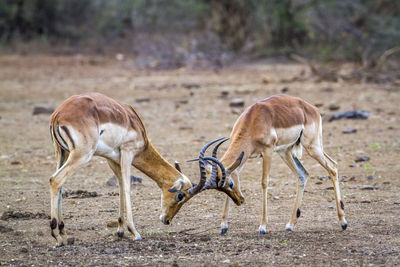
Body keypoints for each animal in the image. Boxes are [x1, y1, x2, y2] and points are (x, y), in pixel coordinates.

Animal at [47, 92, 241, 247]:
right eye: (180, 196)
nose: (167, 220)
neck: (134, 123)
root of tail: (58, 114)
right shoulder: (127, 153)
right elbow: (127, 188)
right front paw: (135, 232)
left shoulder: (113, 160)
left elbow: (120, 187)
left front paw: (120, 230)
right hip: (82, 155)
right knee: (55, 180)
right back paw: (56, 236)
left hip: (62, 152)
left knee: (59, 184)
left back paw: (63, 234)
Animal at [195, 94, 348, 237]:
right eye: (222, 189)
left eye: (231, 184)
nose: (240, 201)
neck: (253, 120)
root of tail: (312, 109)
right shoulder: (244, 157)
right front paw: (223, 226)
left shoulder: (267, 151)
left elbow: (264, 182)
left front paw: (262, 227)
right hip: (286, 151)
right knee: (303, 174)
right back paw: (290, 224)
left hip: (312, 147)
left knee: (333, 167)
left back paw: (343, 222)